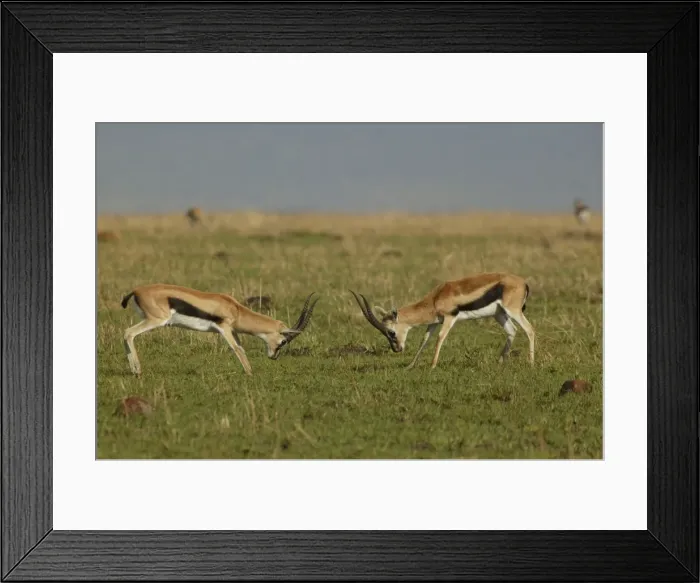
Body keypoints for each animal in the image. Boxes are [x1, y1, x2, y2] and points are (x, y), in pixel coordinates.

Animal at [121, 284, 319, 376]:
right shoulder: (224, 328)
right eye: (283, 341)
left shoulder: (233, 330)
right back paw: (137, 371)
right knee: (128, 333)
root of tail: (135, 291)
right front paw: (250, 373)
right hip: (155, 320)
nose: (274, 357)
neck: (235, 309)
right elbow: (236, 348)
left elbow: (241, 348)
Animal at [350, 273, 534, 370]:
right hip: (499, 314)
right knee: (512, 331)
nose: (397, 349)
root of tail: (523, 282)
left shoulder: (449, 318)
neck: (436, 298)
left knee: (529, 330)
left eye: (391, 332)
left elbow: (440, 338)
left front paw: (432, 365)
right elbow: (424, 340)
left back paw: (530, 363)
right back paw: (500, 362)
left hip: (513, 311)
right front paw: (410, 365)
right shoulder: (434, 321)